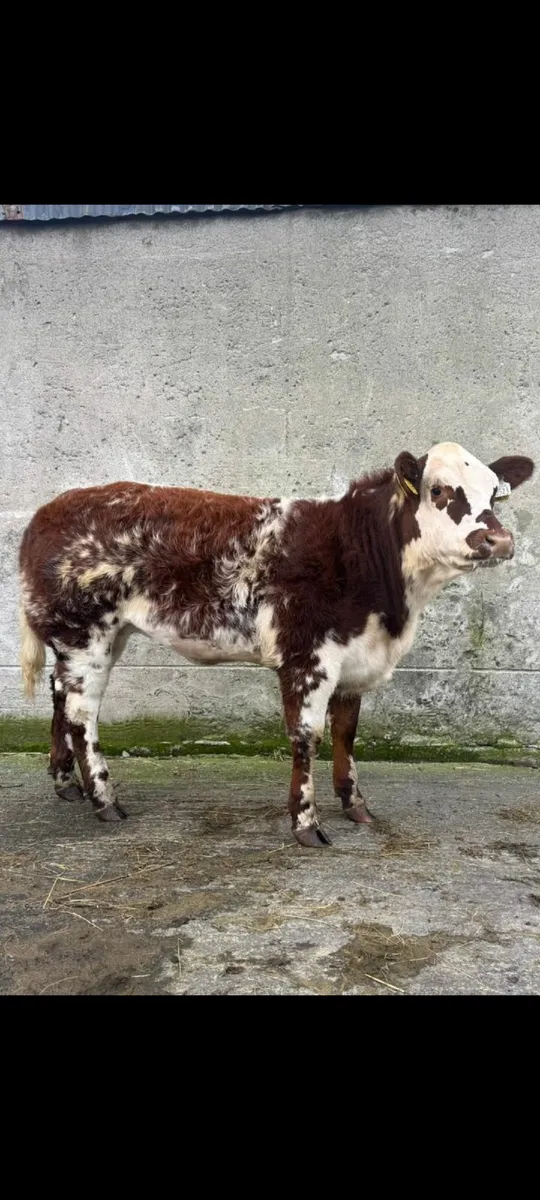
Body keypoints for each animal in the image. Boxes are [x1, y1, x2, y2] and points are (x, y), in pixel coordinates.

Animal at [19, 442, 534, 846]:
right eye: (440, 490)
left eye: (495, 493)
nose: (498, 539)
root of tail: (47, 512)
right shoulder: (308, 657)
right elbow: (308, 737)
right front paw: (306, 823)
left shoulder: (355, 661)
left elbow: (346, 733)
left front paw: (356, 805)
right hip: (85, 634)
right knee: (82, 714)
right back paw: (105, 800)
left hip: (96, 637)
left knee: (59, 695)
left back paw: (66, 783)